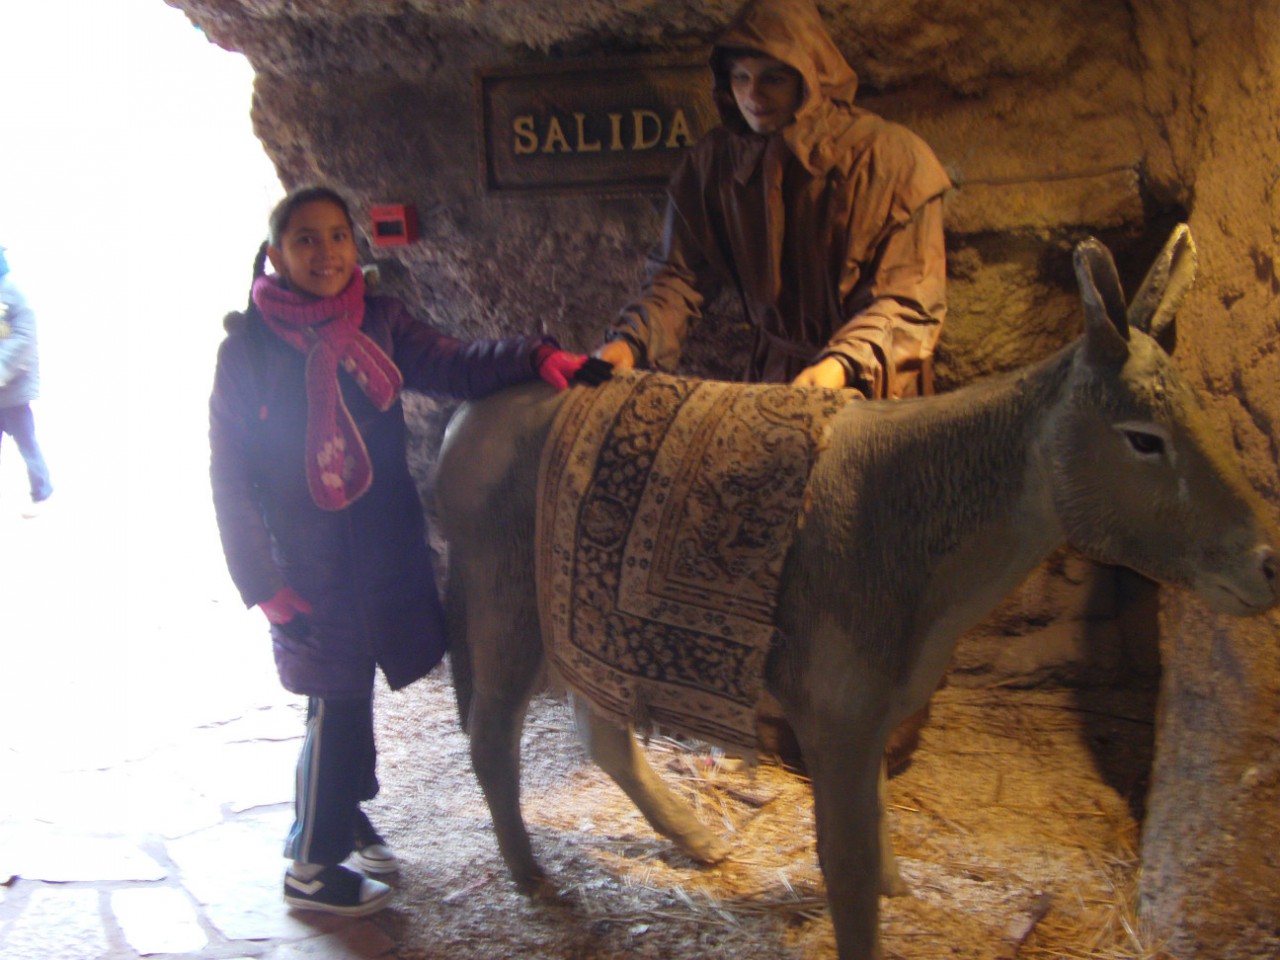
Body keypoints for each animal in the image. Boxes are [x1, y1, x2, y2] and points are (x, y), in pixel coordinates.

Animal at [433, 225, 1278, 959]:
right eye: (1143, 438)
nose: (1267, 562)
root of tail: (467, 417)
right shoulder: (836, 713)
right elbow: (844, 858)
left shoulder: (874, 708)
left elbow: (876, 819)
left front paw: (897, 885)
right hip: (506, 603)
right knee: (492, 735)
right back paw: (533, 877)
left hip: (587, 619)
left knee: (598, 728)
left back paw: (696, 838)